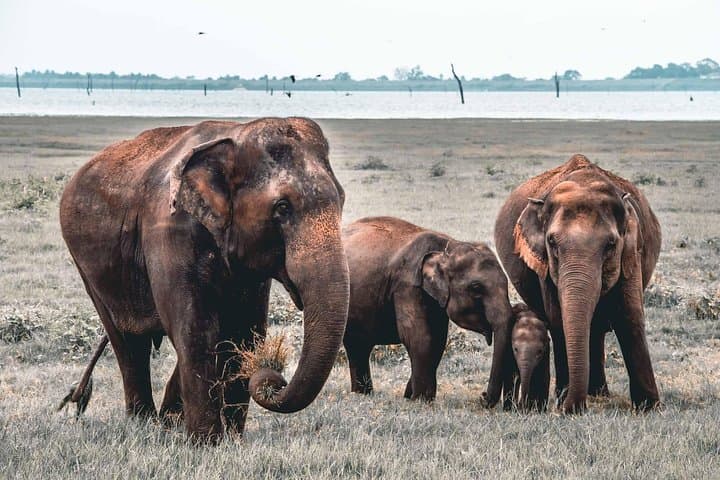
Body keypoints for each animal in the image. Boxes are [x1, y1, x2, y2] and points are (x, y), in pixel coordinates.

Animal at [59, 117, 350, 441]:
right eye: (282, 207)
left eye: (342, 200)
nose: (273, 376)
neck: (236, 136)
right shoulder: (171, 231)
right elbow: (195, 330)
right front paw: (206, 443)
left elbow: (244, 332)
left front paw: (233, 441)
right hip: (87, 267)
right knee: (127, 342)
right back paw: (143, 426)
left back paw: (166, 423)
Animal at [341, 216, 513, 403]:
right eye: (476, 288)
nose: (482, 396)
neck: (448, 247)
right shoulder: (407, 285)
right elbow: (419, 337)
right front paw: (420, 400)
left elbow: (438, 339)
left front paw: (410, 396)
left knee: (358, 345)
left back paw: (362, 394)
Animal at [494, 154, 661, 413]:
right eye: (552, 242)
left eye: (611, 244)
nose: (570, 408)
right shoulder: (546, 268)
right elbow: (557, 319)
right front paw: (565, 401)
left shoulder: (631, 252)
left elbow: (629, 315)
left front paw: (649, 407)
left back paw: (599, 395)